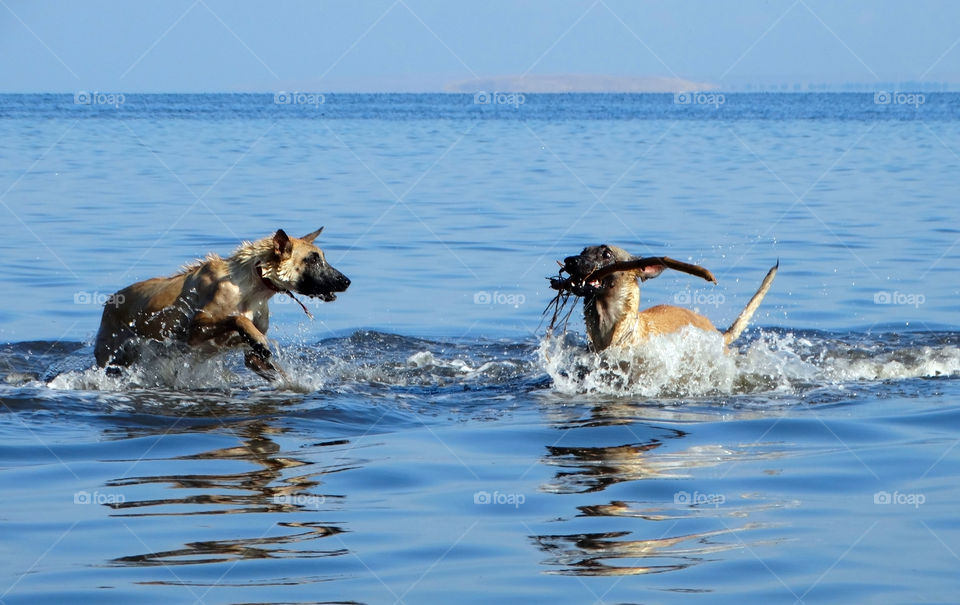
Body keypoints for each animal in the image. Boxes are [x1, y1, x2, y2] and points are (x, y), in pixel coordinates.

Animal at [93, 229, 348, 380]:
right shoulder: (196, 330)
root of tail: (110, 301)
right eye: (313, 259)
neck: (252, 286)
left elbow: (271, 366)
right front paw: (255, 336)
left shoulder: (253, 359)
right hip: (111, 356)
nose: (346, 281)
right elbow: (236, 317)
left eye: (322, 257)